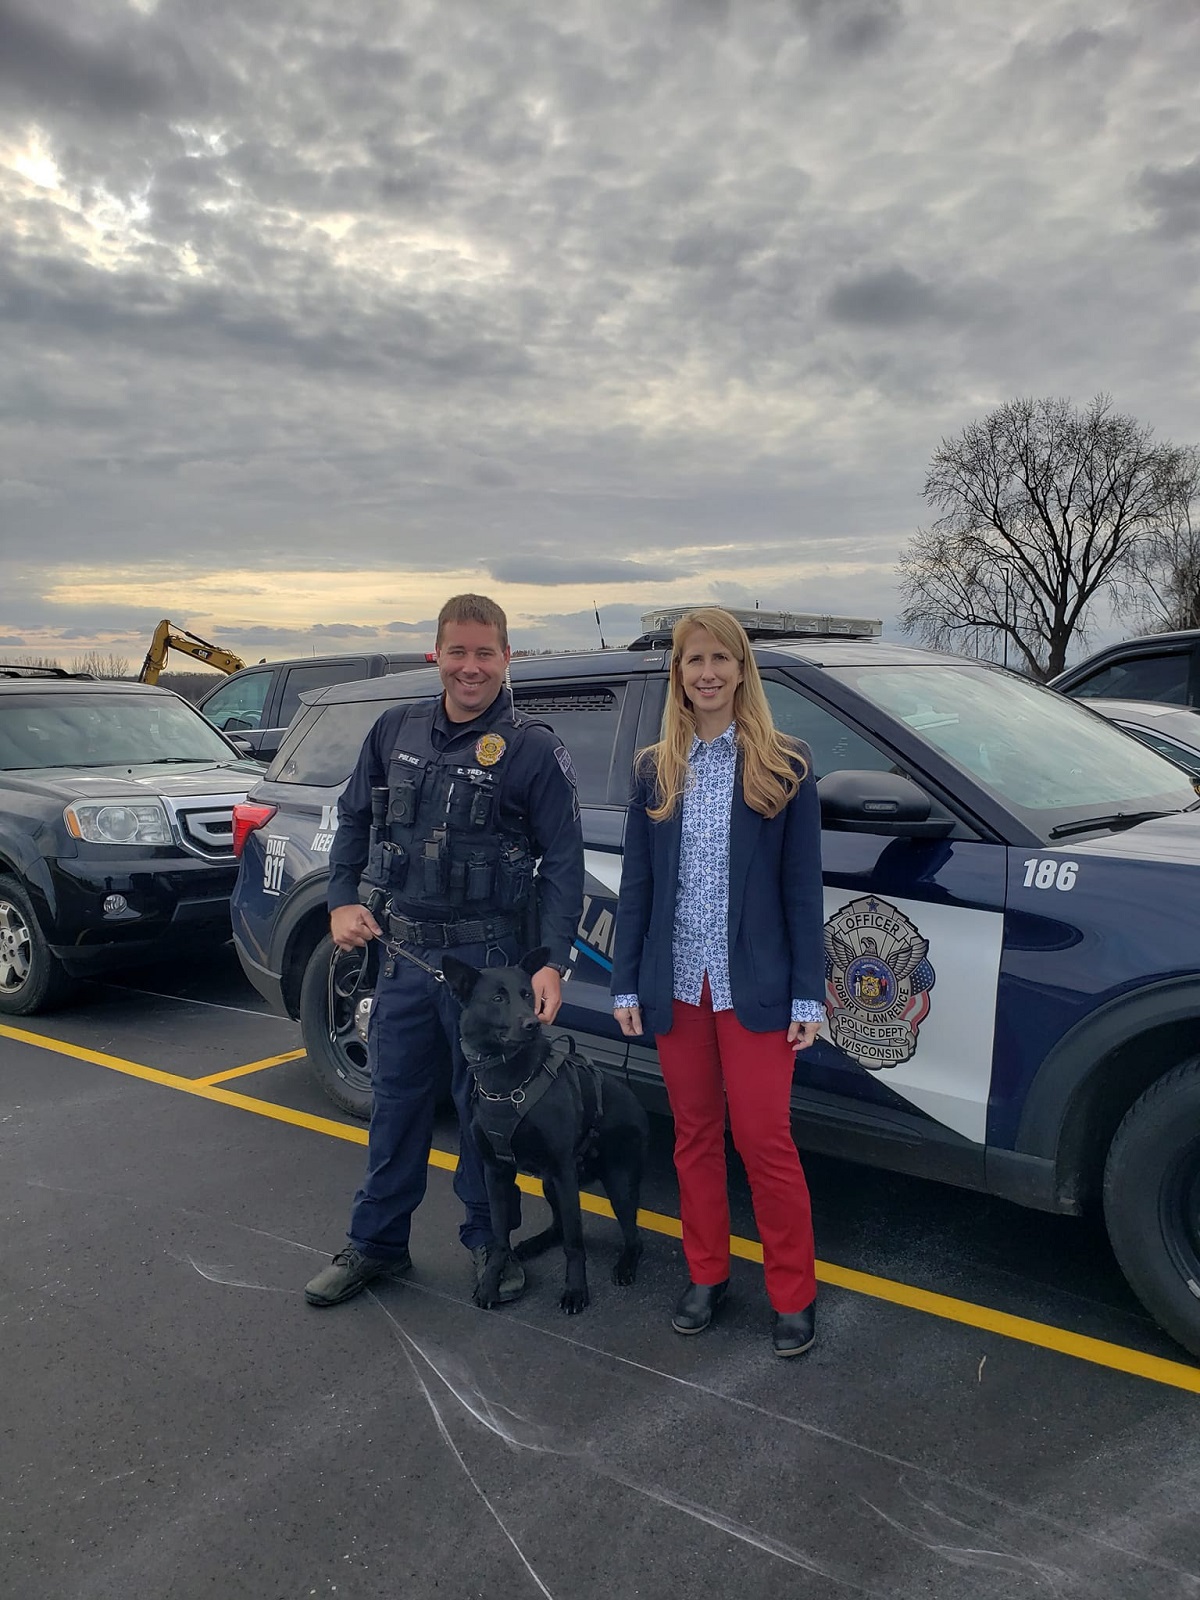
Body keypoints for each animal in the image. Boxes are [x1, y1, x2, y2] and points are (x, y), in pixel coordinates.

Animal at [441, 947, 649, 1312]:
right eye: (498, 998)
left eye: (528, 995)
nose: (533, 1024)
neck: (508, 1083)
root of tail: (635, 1101)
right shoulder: (496, 1172)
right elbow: (499, 1237)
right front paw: (491, 1283)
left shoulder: (564, 1171)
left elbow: (575, 1243)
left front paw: (576, 1291)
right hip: (551, 1184)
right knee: (559, 1226)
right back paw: (537, 1243)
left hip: (617, 1183)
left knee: (631, 1236)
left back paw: (625, 1264)